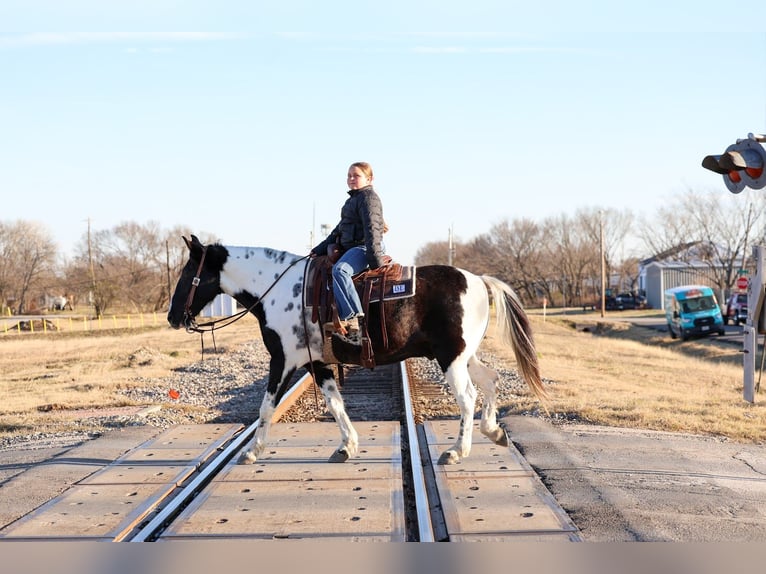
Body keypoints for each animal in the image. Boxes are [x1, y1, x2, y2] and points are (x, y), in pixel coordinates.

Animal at [167, 235, 547, 465]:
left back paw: (456, 451)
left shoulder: (283, 360)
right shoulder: (316, 363)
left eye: (188, 273)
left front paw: (251, 450)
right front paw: (346, 445)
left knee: (467, 397)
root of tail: (479, 280)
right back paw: (493, 431)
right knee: (490, 380)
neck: (279, 290)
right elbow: (335, 403)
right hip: (464, 356)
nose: (172, 317)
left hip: (450, 358)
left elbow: (266, 407)